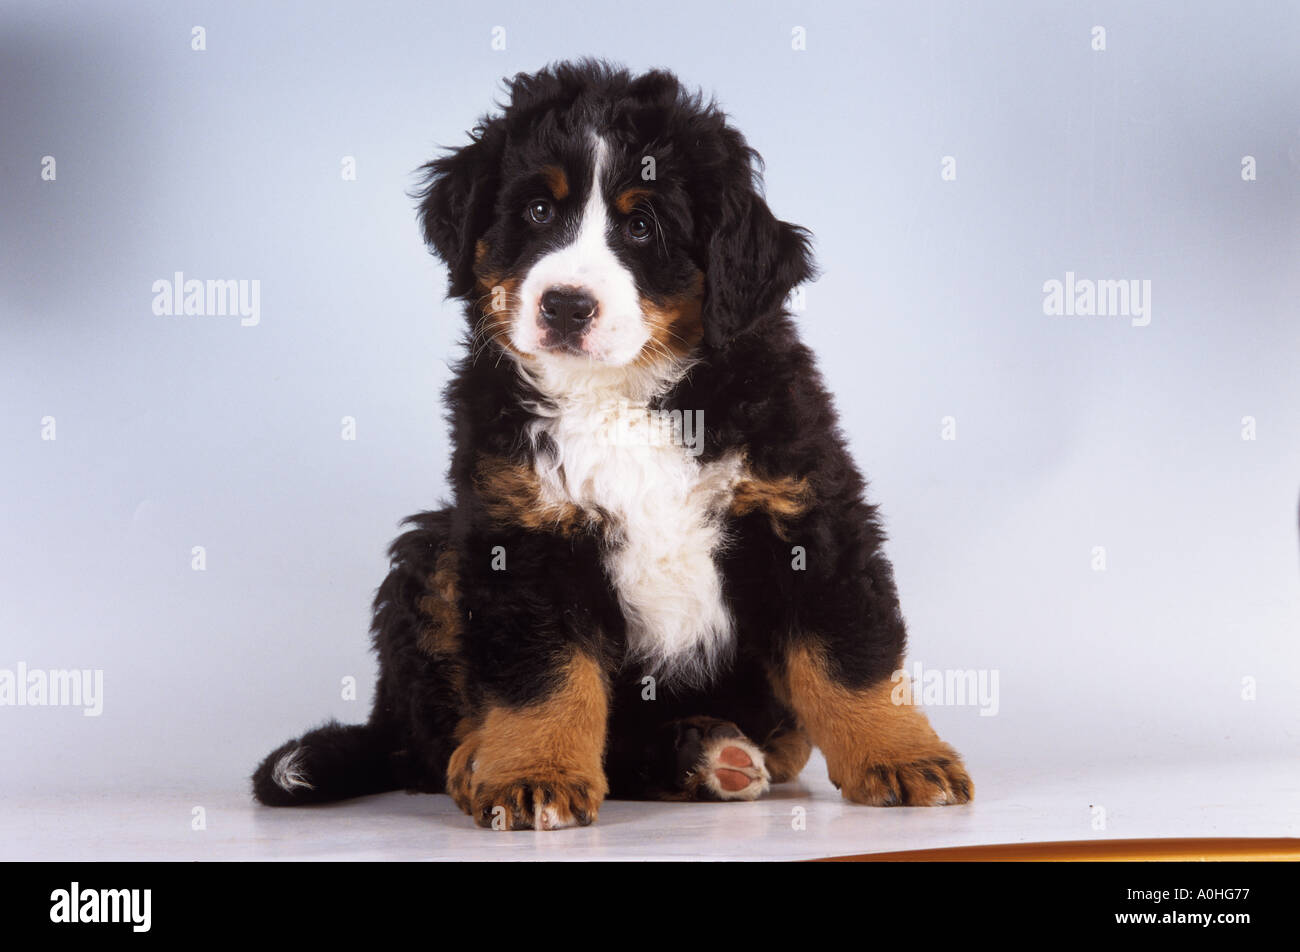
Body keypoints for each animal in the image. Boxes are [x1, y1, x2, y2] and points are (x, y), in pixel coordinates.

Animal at [250, 61, 977, 832]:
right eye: (539, 212)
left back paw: (716, 754)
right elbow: (542, 676)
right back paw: (497, 761)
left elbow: (849, 656)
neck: (620, 395)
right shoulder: (521, 531)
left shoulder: (805, 512)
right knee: (430, 740)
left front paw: (903, 759)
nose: (566, 306)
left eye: (642, 224)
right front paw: (533, 774)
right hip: (436, 547)